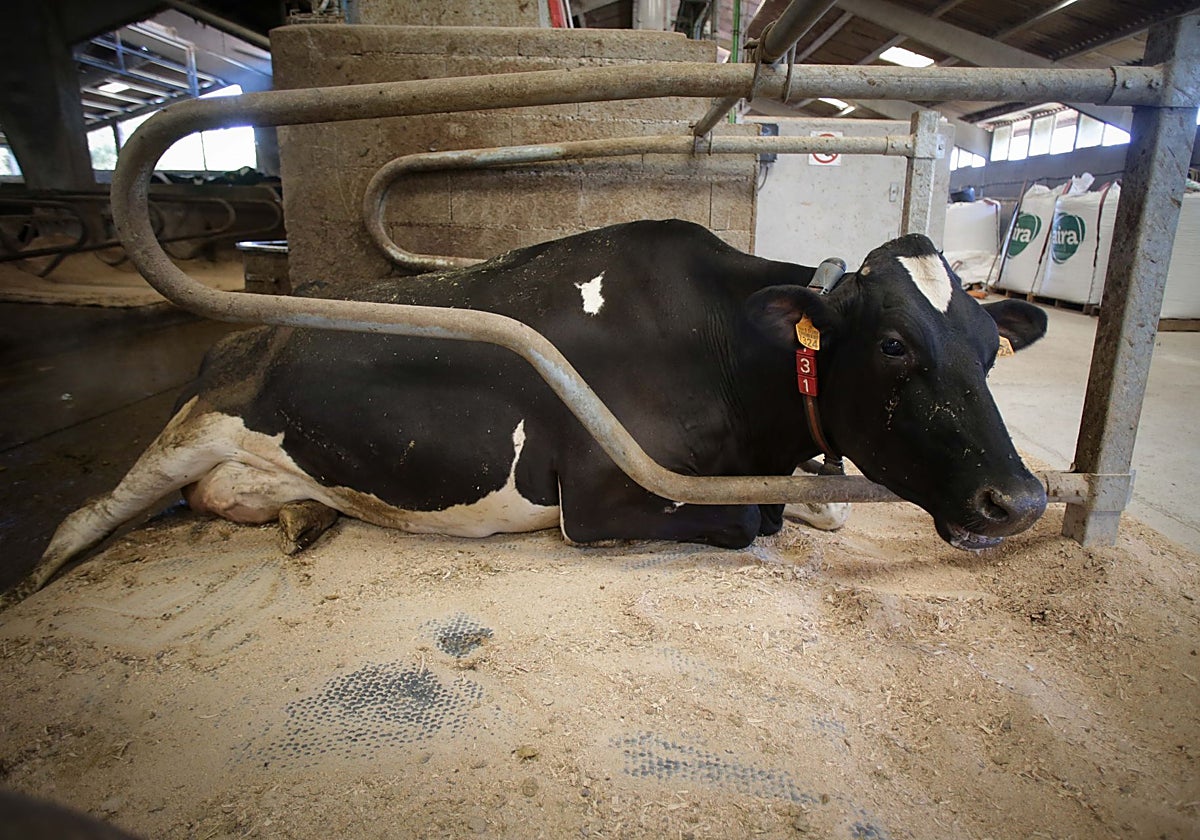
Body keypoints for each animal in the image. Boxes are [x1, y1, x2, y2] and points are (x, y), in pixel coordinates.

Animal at [22, 220, 1047, 596]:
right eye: (894, 345)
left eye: (992, 349)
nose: (1023, 500)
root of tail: (247, 330)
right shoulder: (596, 496)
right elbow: (752, 518)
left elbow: (808, 509)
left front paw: (821, 503)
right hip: (191, 427)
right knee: (84, 514)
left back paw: (305, 517)